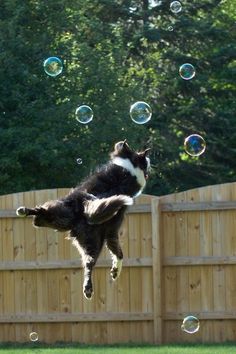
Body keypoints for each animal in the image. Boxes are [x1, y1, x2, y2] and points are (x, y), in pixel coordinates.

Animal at [16, 141, 150, 298]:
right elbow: (119, 254)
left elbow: (117, 252)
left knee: (41, 215)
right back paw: (89, 289)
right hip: (95, 240)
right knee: (90, 264)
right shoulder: (112, 229)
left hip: (62, 217)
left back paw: (25, 211)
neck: (127, 166)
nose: (149, 162)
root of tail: (83, 204)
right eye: (145, 161)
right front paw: (116, 271)